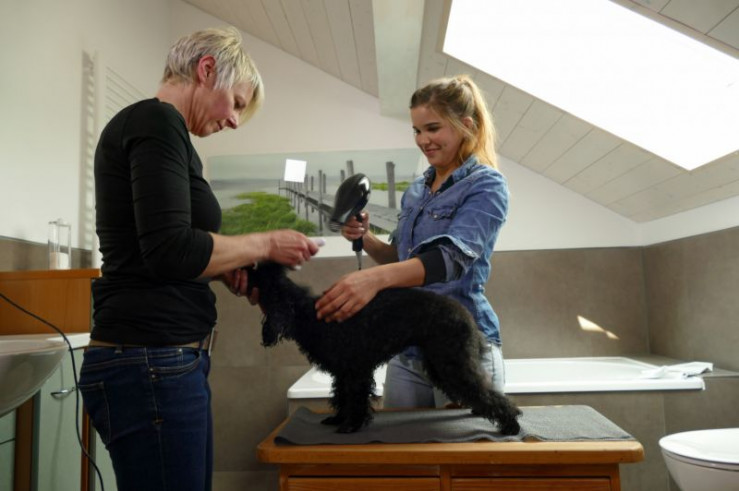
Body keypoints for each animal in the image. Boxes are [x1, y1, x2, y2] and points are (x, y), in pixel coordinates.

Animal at [248, 262, 521, 435]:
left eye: (257, 274)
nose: (244, 269)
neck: (308, 313)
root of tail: (467, 316)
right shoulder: (343, 373)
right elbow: (341, 397)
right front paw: (338, 419)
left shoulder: (355, 371)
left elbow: (355, 399)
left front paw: (351, 426)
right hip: (442, 363)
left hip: (453, 362)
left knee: (488, 393)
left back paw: (511, 425)